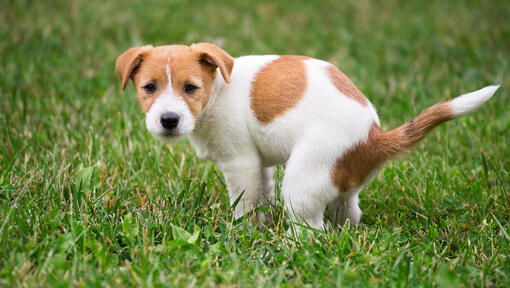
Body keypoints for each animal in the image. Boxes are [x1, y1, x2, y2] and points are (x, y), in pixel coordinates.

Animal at [114, 42, 498, 231]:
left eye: (191, 88)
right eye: (149, 87)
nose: (168, 120)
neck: (218, 89)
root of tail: (374, 139)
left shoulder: (240, 163)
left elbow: (245, 203)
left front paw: (243, 234)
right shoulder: (259, 165)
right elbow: (262, 195)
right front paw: (261, 224)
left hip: (302, 180)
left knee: (313, 230)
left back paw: (290, 246)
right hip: (338, 183)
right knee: (349, 212)